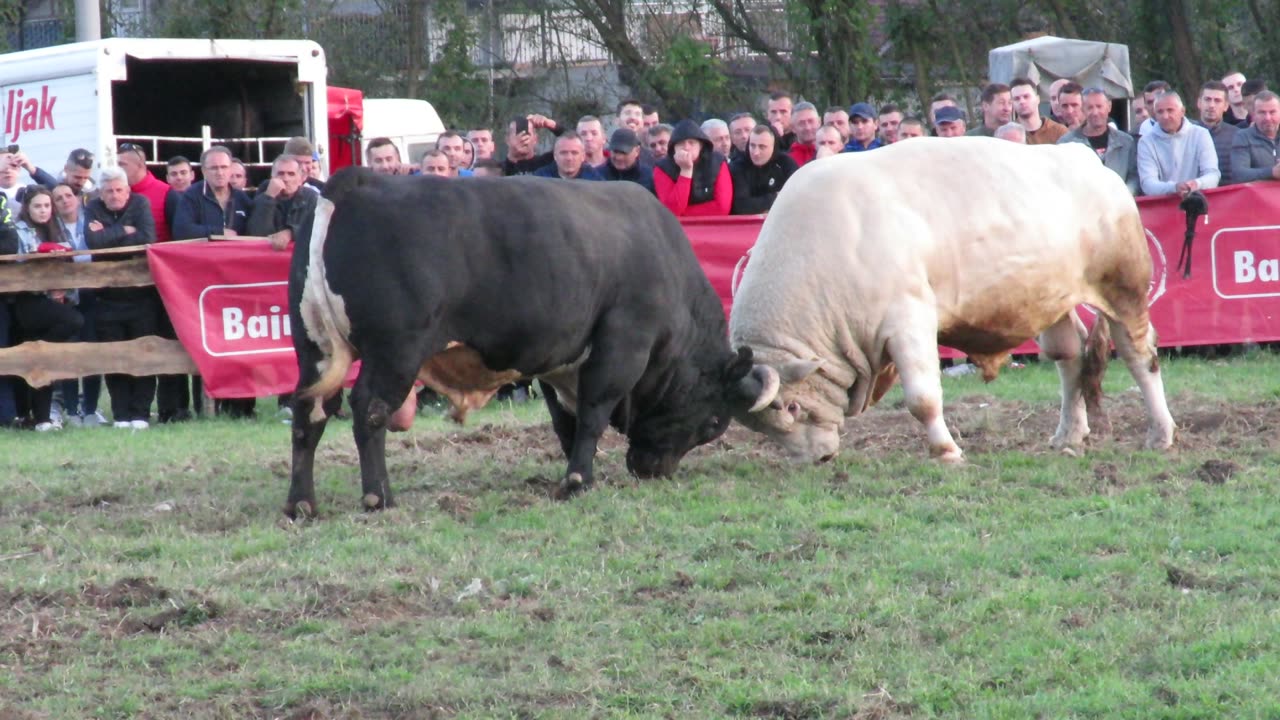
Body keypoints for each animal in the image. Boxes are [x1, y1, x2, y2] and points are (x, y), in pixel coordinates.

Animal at [284, 169, 768, 515]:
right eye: (713, 423)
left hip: (314, 349)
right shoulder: (622, 346)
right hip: (395, 352)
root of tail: (357, 181)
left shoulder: (558, 361)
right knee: (369, 410)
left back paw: (301, 503)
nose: (655, 471)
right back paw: (378, 497)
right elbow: (593, 414)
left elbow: (566, 422)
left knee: (309, 413)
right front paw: (578, 482)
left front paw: (575, 471)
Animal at [732, 135, 1177, 458]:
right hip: (1050, 302)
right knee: (1070, 358)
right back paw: (1069, 434)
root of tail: (1086, 159)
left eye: (792, 408)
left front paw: (946, 452)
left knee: (1141, 358)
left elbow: (922, 399)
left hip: (1124, 291)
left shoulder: (909, 322)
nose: (819, 458)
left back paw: (1161, 434)